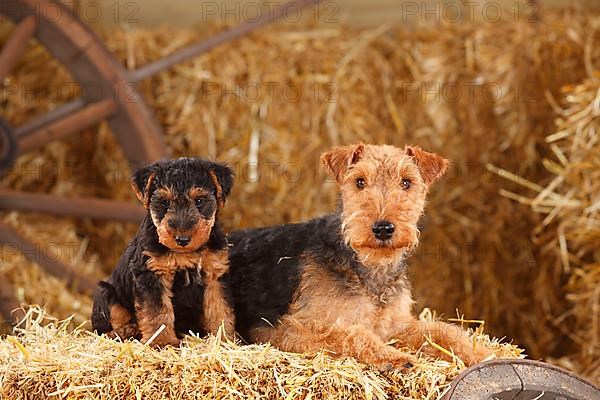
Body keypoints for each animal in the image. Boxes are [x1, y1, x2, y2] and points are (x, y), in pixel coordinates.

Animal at [92, 158, 236, 346]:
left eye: (199, 200)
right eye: (165, 202)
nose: (182, 239)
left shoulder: (215, 275)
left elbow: (220, 310)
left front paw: (224, 340)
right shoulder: (152, 274)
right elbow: (157, 314)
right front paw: (163, 342)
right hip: (106, 293)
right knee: (103, 328)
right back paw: (126, 331)